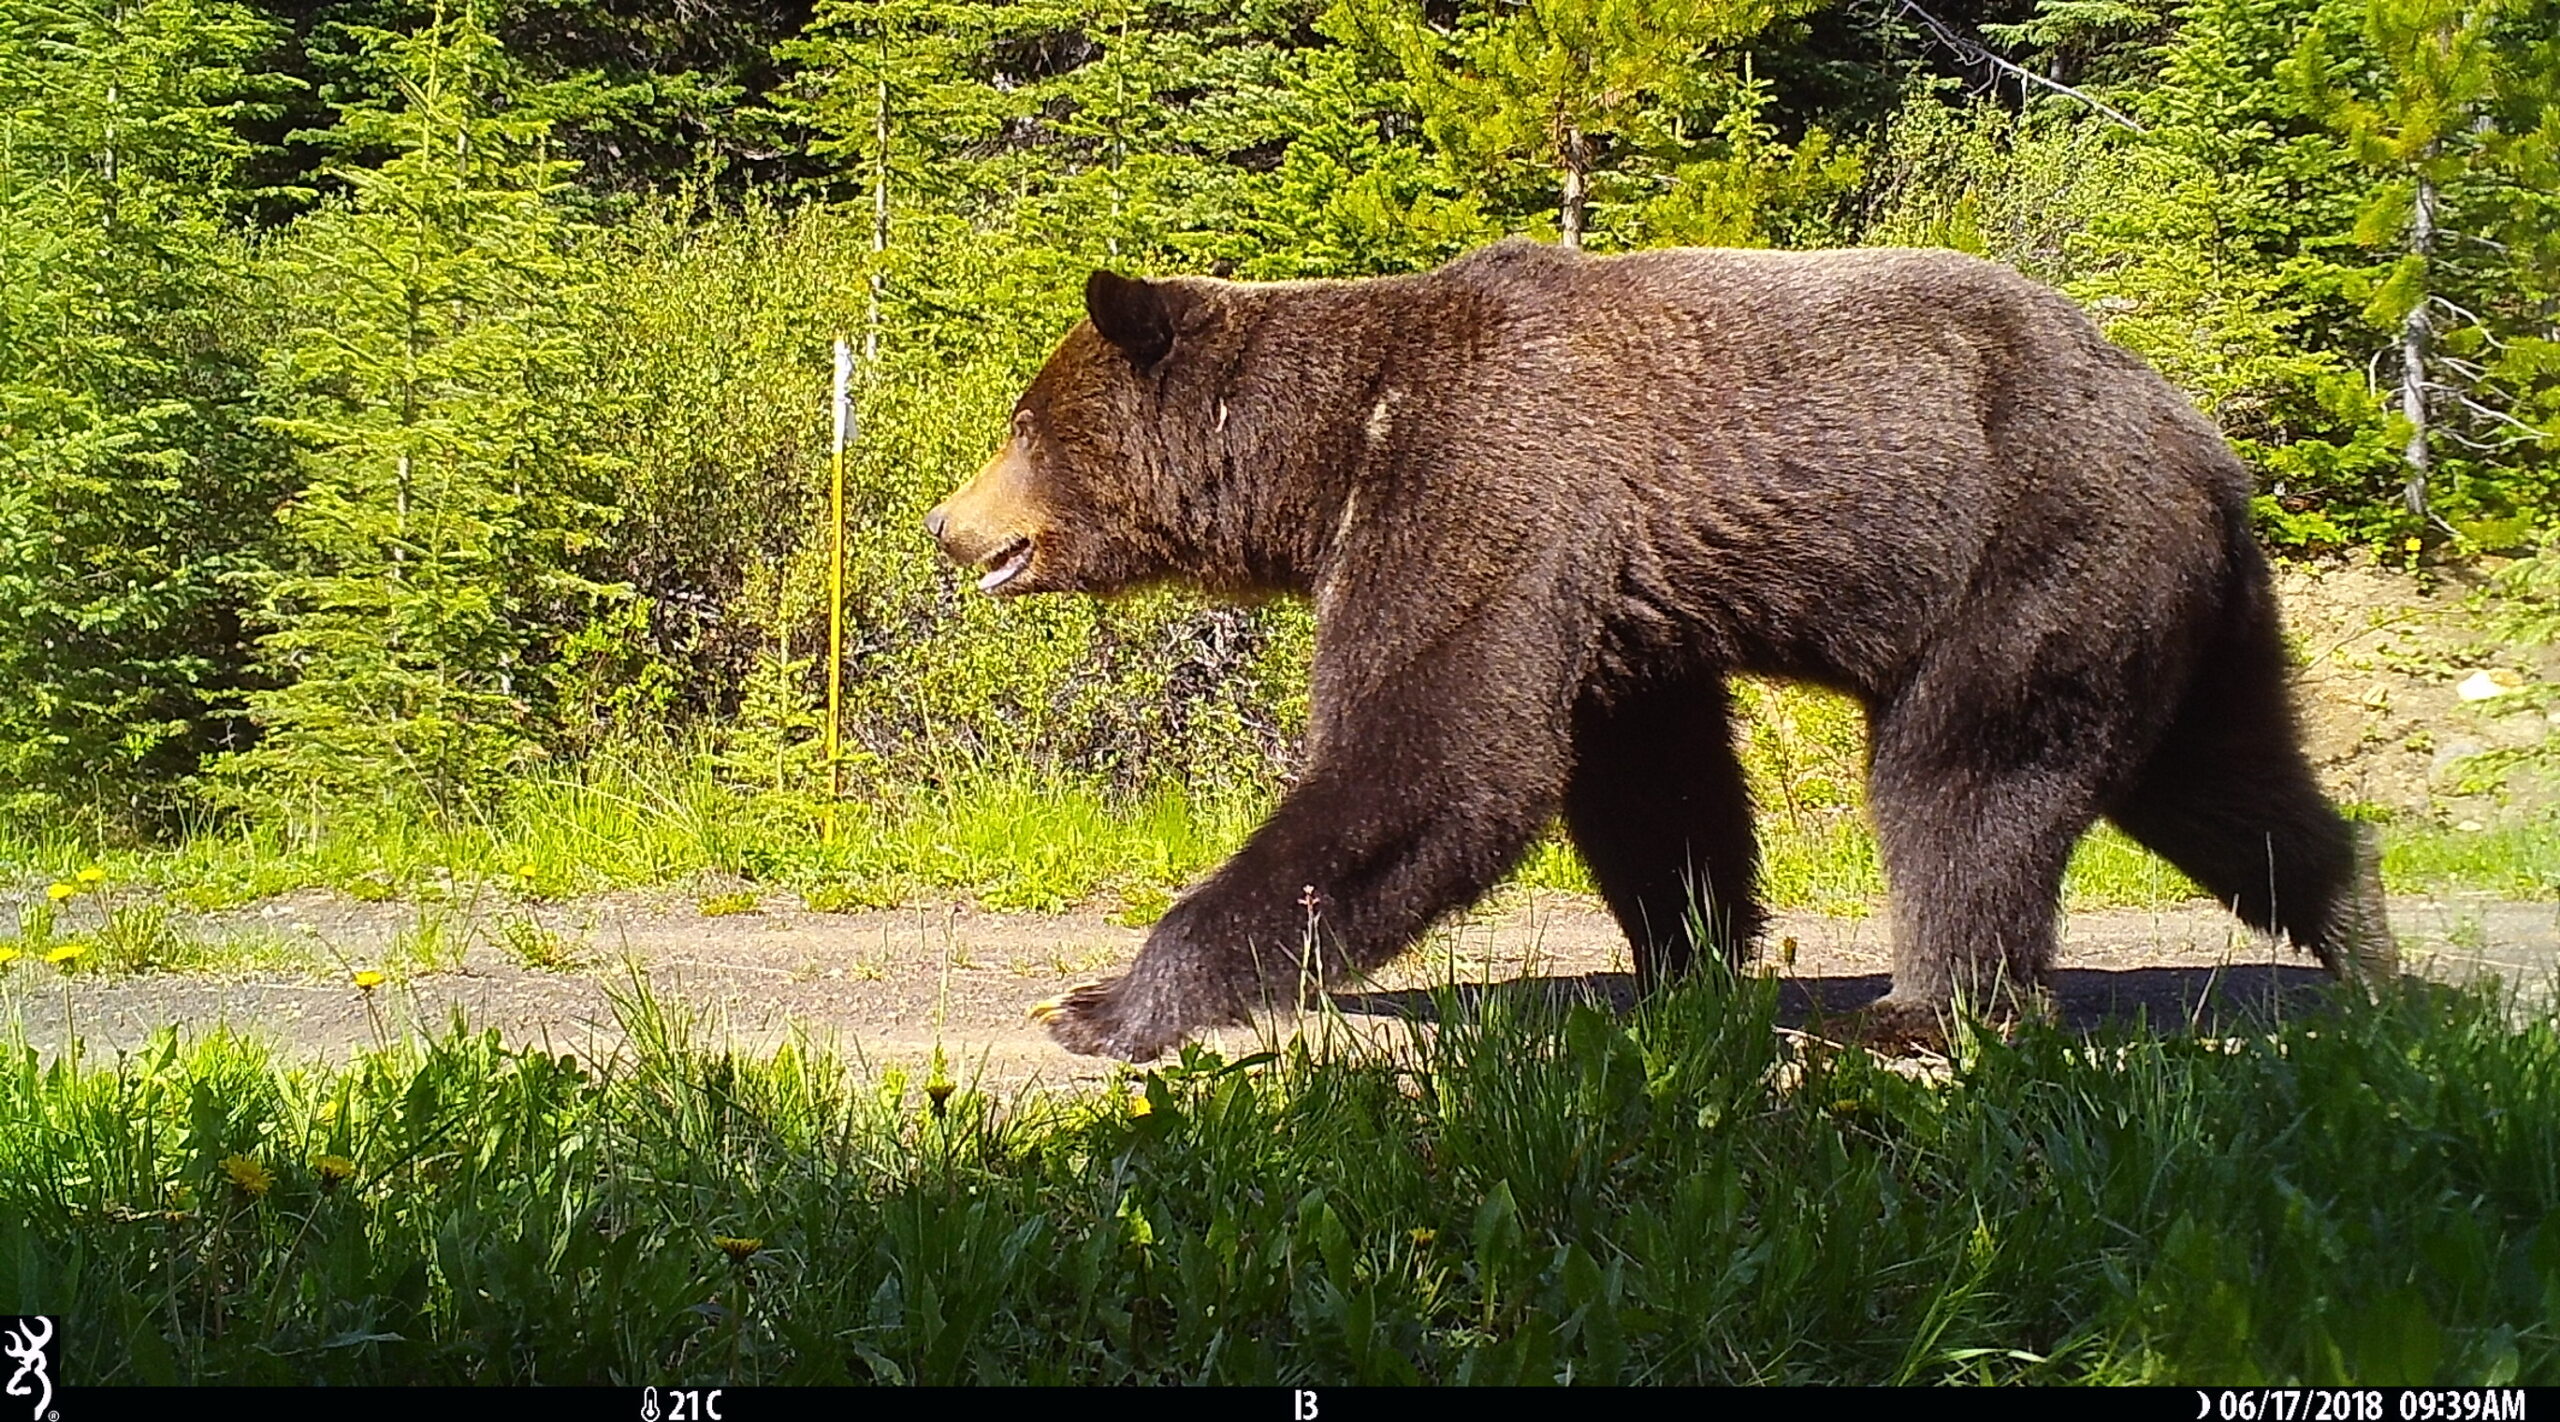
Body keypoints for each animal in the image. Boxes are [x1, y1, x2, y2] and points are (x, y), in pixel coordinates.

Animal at [926, 239, 2396, 1060]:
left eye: (1021, 424)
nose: (948, 524)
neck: (1334, 448)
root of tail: (2205, 446)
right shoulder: (1616, 593)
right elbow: (1648, 780)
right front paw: (1685, 964)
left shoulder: (1480, 484)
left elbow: (1432, 760)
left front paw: (1103, 1003)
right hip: (2167, 608)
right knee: (2227, 783)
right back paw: (2366, 947)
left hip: (2030, 564)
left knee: (1965, 782)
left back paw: (1921, 1010)